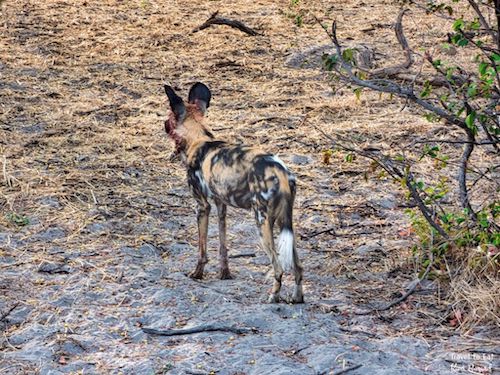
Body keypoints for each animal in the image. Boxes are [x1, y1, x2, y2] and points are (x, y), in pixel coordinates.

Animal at [165, 83, 304, 306]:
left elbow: (202, 250)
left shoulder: (202, 206)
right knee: (298, 266)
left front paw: (197, 274)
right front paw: (225, 273)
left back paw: (273, 297)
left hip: (262, 223)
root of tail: (281, 172)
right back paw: (297, 297)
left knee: (278, 267)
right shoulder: (221, 206)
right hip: (285, 223)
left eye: (168, 119)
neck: (199, 139)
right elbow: (223, 247)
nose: (164, 125)